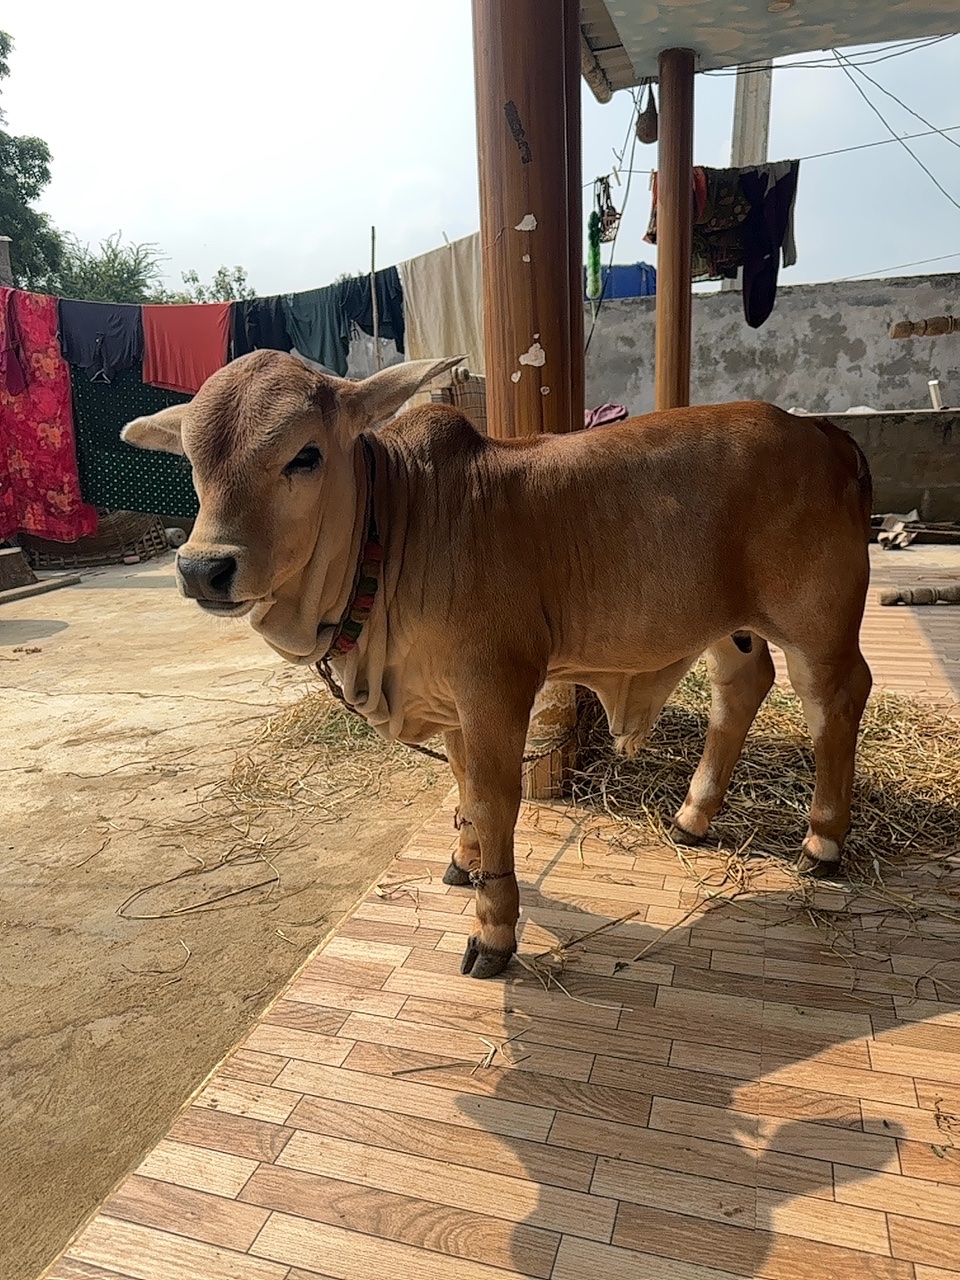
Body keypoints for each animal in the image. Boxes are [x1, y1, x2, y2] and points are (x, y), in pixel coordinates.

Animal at [122, 351, 873, 979]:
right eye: (192, 462)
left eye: (303, 456)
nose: (202, 568)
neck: (397, 523)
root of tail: (823, 434)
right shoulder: (449, 699)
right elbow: (460, 787)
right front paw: (465, 861)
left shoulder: (494, 686)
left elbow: (490, 798)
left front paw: (493, 930)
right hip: (725, 623)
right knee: (741, 686)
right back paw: (692, 817)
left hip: (817, 625)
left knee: (835, 699)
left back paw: (822, 844)